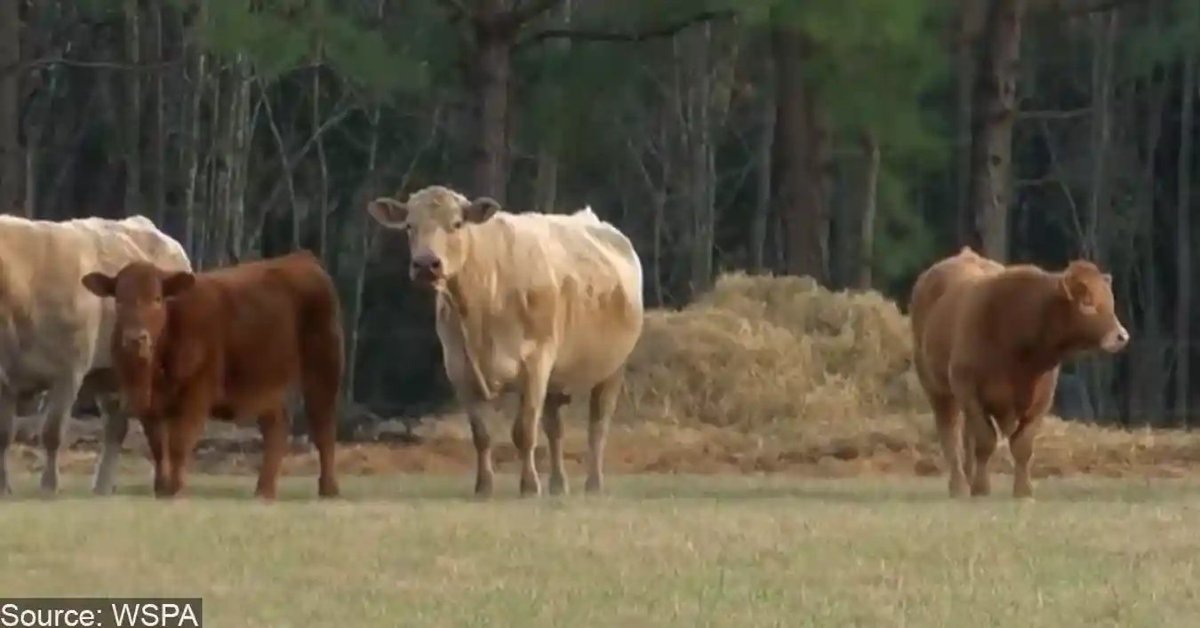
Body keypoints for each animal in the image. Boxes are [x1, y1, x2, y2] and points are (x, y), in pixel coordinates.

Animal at [0, 214, 192, 496]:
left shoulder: (69, 371)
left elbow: (52, 432)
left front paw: (49, 486)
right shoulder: (6, 378)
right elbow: (4, 435)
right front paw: (4, 487)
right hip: (108, 375)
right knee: (116, 427)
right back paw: (102, 486)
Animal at [80, 250, 342, 499]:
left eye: (157, 298)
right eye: (119, 300)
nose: (136, 338)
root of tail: (301, 259)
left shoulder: (196, 394)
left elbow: (179, 442)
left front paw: (175, 489)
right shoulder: (147, 406)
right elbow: (158, 446)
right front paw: (162, 487)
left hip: (322, 370)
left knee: (323, 427)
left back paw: (328, 488)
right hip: (266, 386)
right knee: (276, 428)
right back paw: (264, 490)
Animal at [367, 185, 644, 497]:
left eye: (457, 224)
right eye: (409, 226)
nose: (426, 264)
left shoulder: (537, 361)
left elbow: (524, 431)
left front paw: (529, 486)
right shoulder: (460, 368)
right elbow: (482, 435)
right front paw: (484, 486)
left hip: (613, 367)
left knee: (598, 426)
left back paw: (593, 484)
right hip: (557, 377)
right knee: (555, 429)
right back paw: (558, 484)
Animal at [908, 246, 1130, 499]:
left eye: (1110, 301)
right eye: (1087, 301)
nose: (1121, 335)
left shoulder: (1042, 400)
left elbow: (1022, 444)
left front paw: (1023, 490)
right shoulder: (967, 388)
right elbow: (985, 440)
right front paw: (982, 488)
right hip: (937, 390)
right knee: (950, 435)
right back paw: (959, 485)